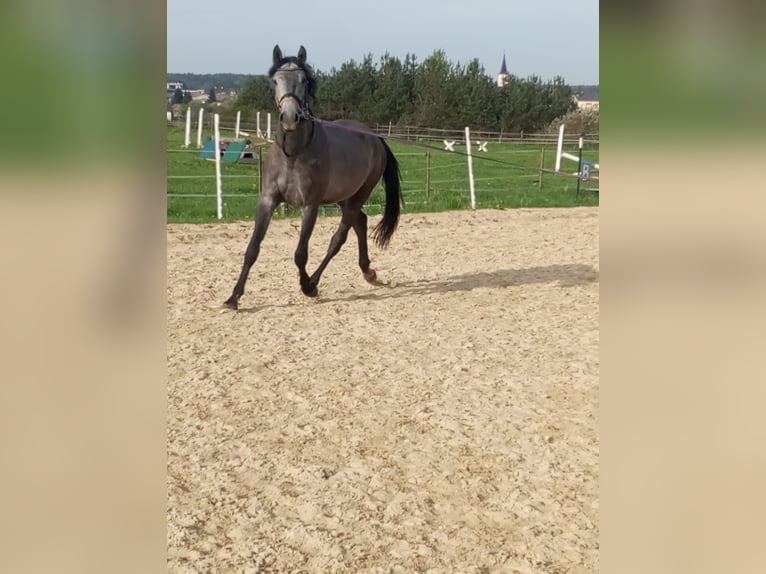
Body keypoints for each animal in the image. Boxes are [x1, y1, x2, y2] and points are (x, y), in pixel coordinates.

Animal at [222, 46, 402, 310]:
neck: (293, 154)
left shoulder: (309, 207)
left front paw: (307, 287)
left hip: (360, 194)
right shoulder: (267, 201)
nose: (289, 117)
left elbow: (300, 254)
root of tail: (375, 138)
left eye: (304, 81)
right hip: (343, 197)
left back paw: (316, 281)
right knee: (360, 222)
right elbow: (252, 249)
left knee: (339, 237)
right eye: (275, 80)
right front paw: (233, 297)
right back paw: (368, 271)